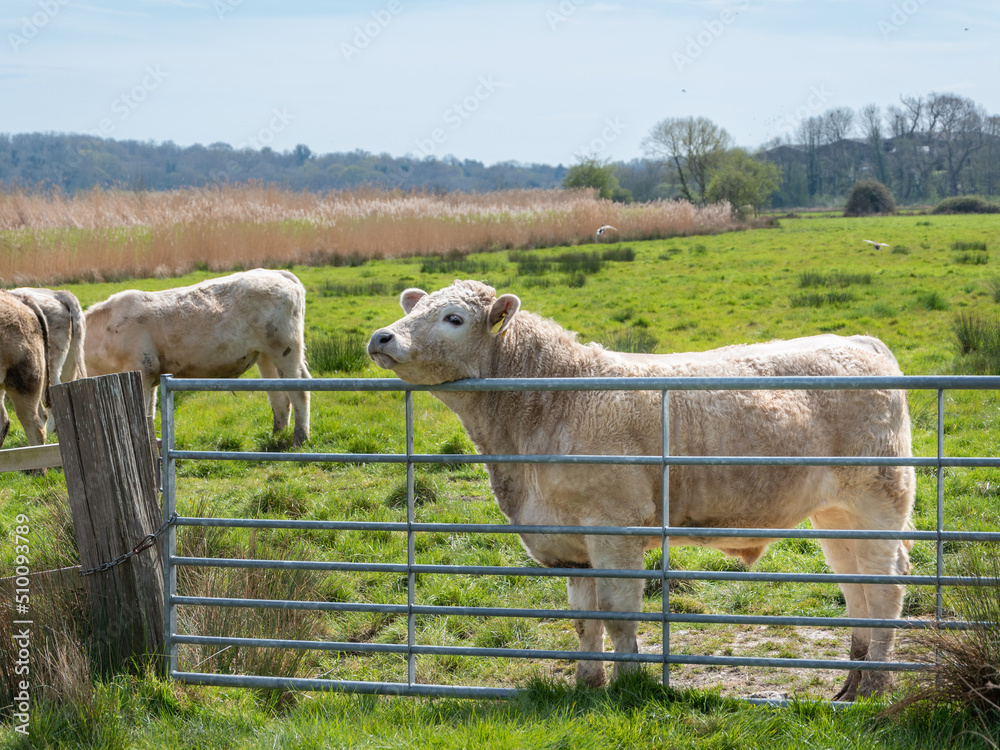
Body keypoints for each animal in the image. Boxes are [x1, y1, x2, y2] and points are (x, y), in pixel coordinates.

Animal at [84, 268, 311, 446]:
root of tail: (276, 273)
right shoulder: (151, 377)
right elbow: (148, 415)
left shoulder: (142, 369)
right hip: (265, 356)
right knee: (279, 396)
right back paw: (277, 437)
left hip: (285, 349)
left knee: (299, 389)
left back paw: (300, 439)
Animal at [367, 279, 915, 701]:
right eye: (414, 309)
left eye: (453, 318)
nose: (382, 336)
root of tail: (862, 342)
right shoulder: (571, 545)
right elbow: (585, 620)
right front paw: (587, 684)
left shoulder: (615, 531)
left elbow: (618, 615)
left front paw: (627, 683)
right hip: (836, 515)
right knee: (856, 587)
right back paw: (851, 684)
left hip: (878, 501)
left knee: (887, 587)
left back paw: (874, 688)